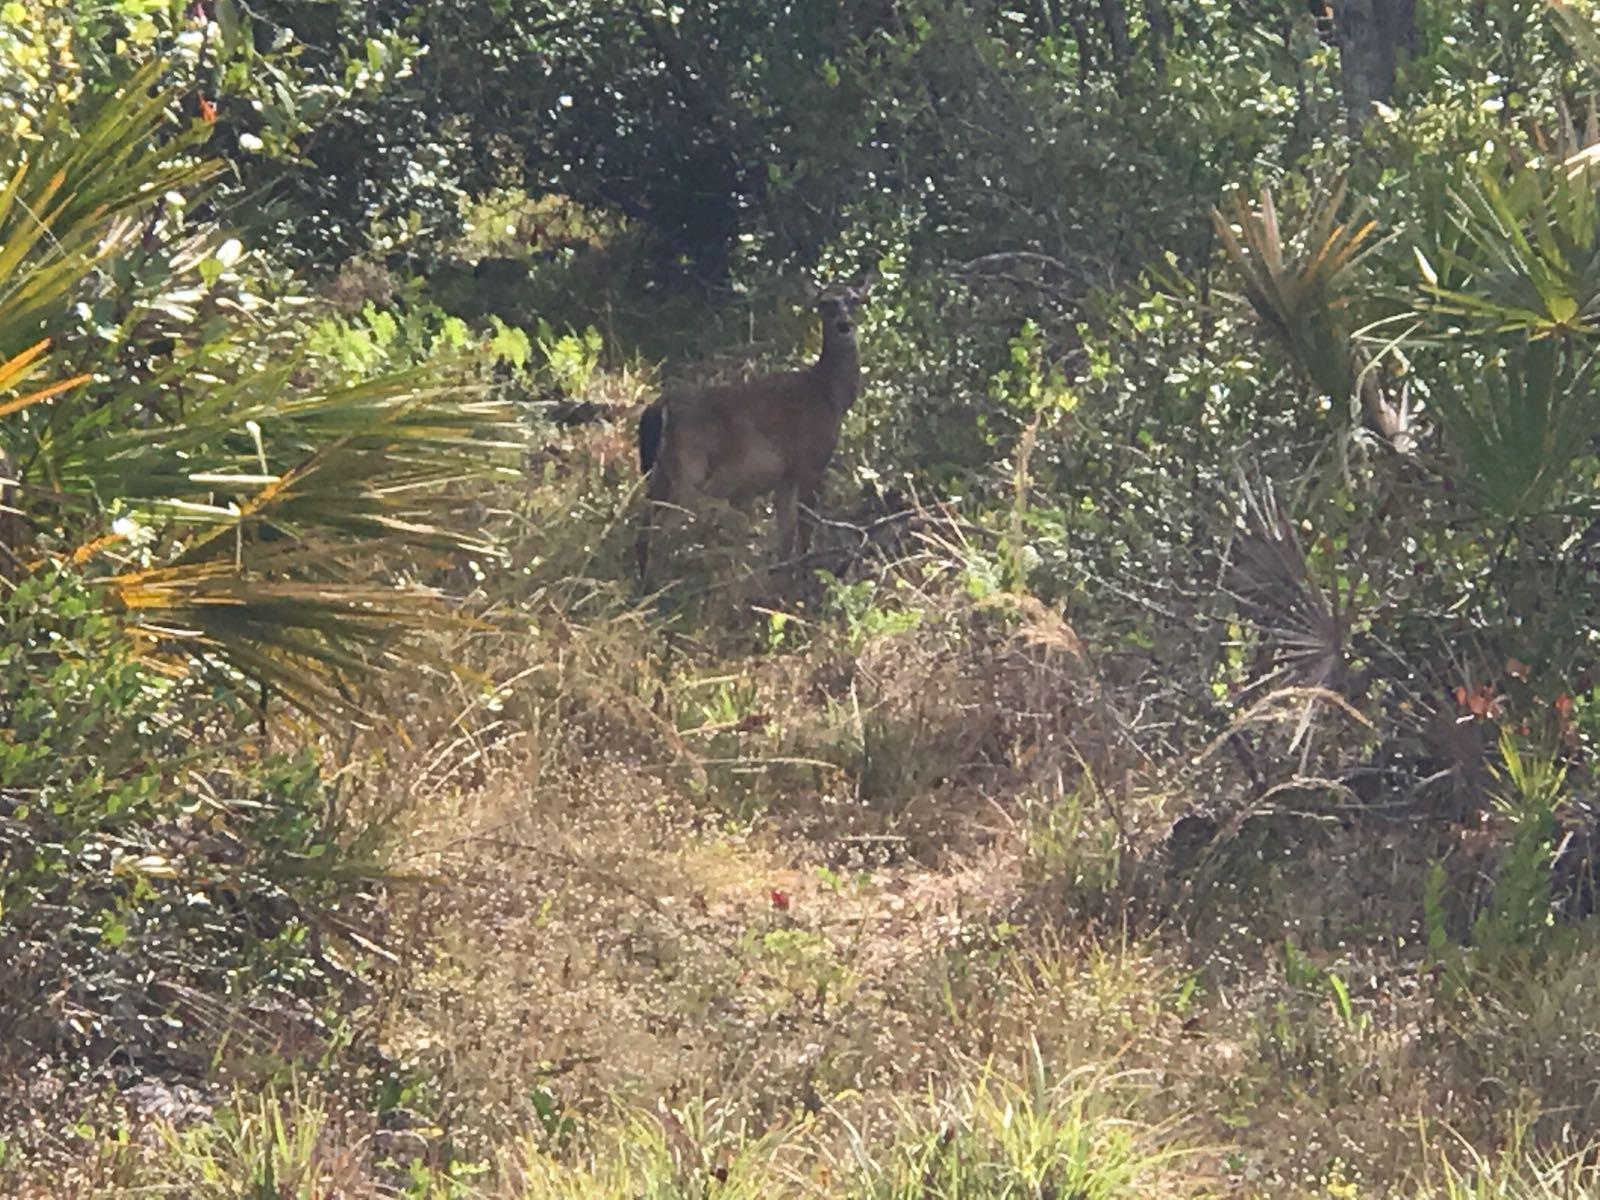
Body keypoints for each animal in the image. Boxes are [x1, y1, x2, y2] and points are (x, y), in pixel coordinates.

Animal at [634, 280, 871, 585]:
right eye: (825, 303)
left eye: (854, 299)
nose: (844, 325)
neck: (830, 395)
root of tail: (659, 408)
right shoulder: (811, 462)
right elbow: (804, 528)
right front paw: (805, 575)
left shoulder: (786, 475)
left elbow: (786, 534)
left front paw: (782, 576)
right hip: (688, 472)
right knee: (658, 534)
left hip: (660, 473)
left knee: (643, 529)